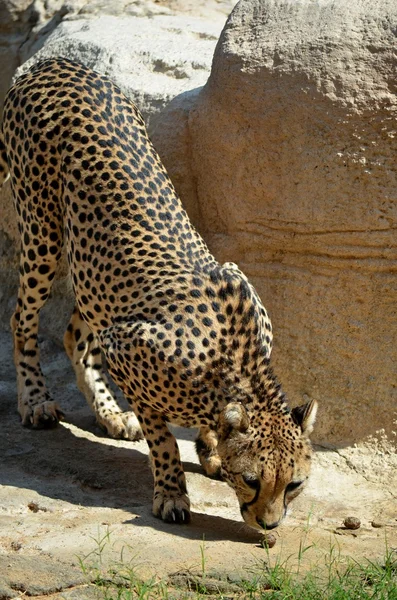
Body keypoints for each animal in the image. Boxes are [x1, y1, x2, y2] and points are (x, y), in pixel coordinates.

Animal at [0, 58, 316, 528]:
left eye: (293, 484)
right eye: (253, 480)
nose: (270, 524)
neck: (236, 366)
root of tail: (55, 63)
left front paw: (209, 449)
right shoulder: (125, 346)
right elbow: (162, 435)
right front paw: (171, 492)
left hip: (94, 270)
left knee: (76, 333)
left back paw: (110, 414)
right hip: (43, 232)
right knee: (22, 319)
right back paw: (36, 401)